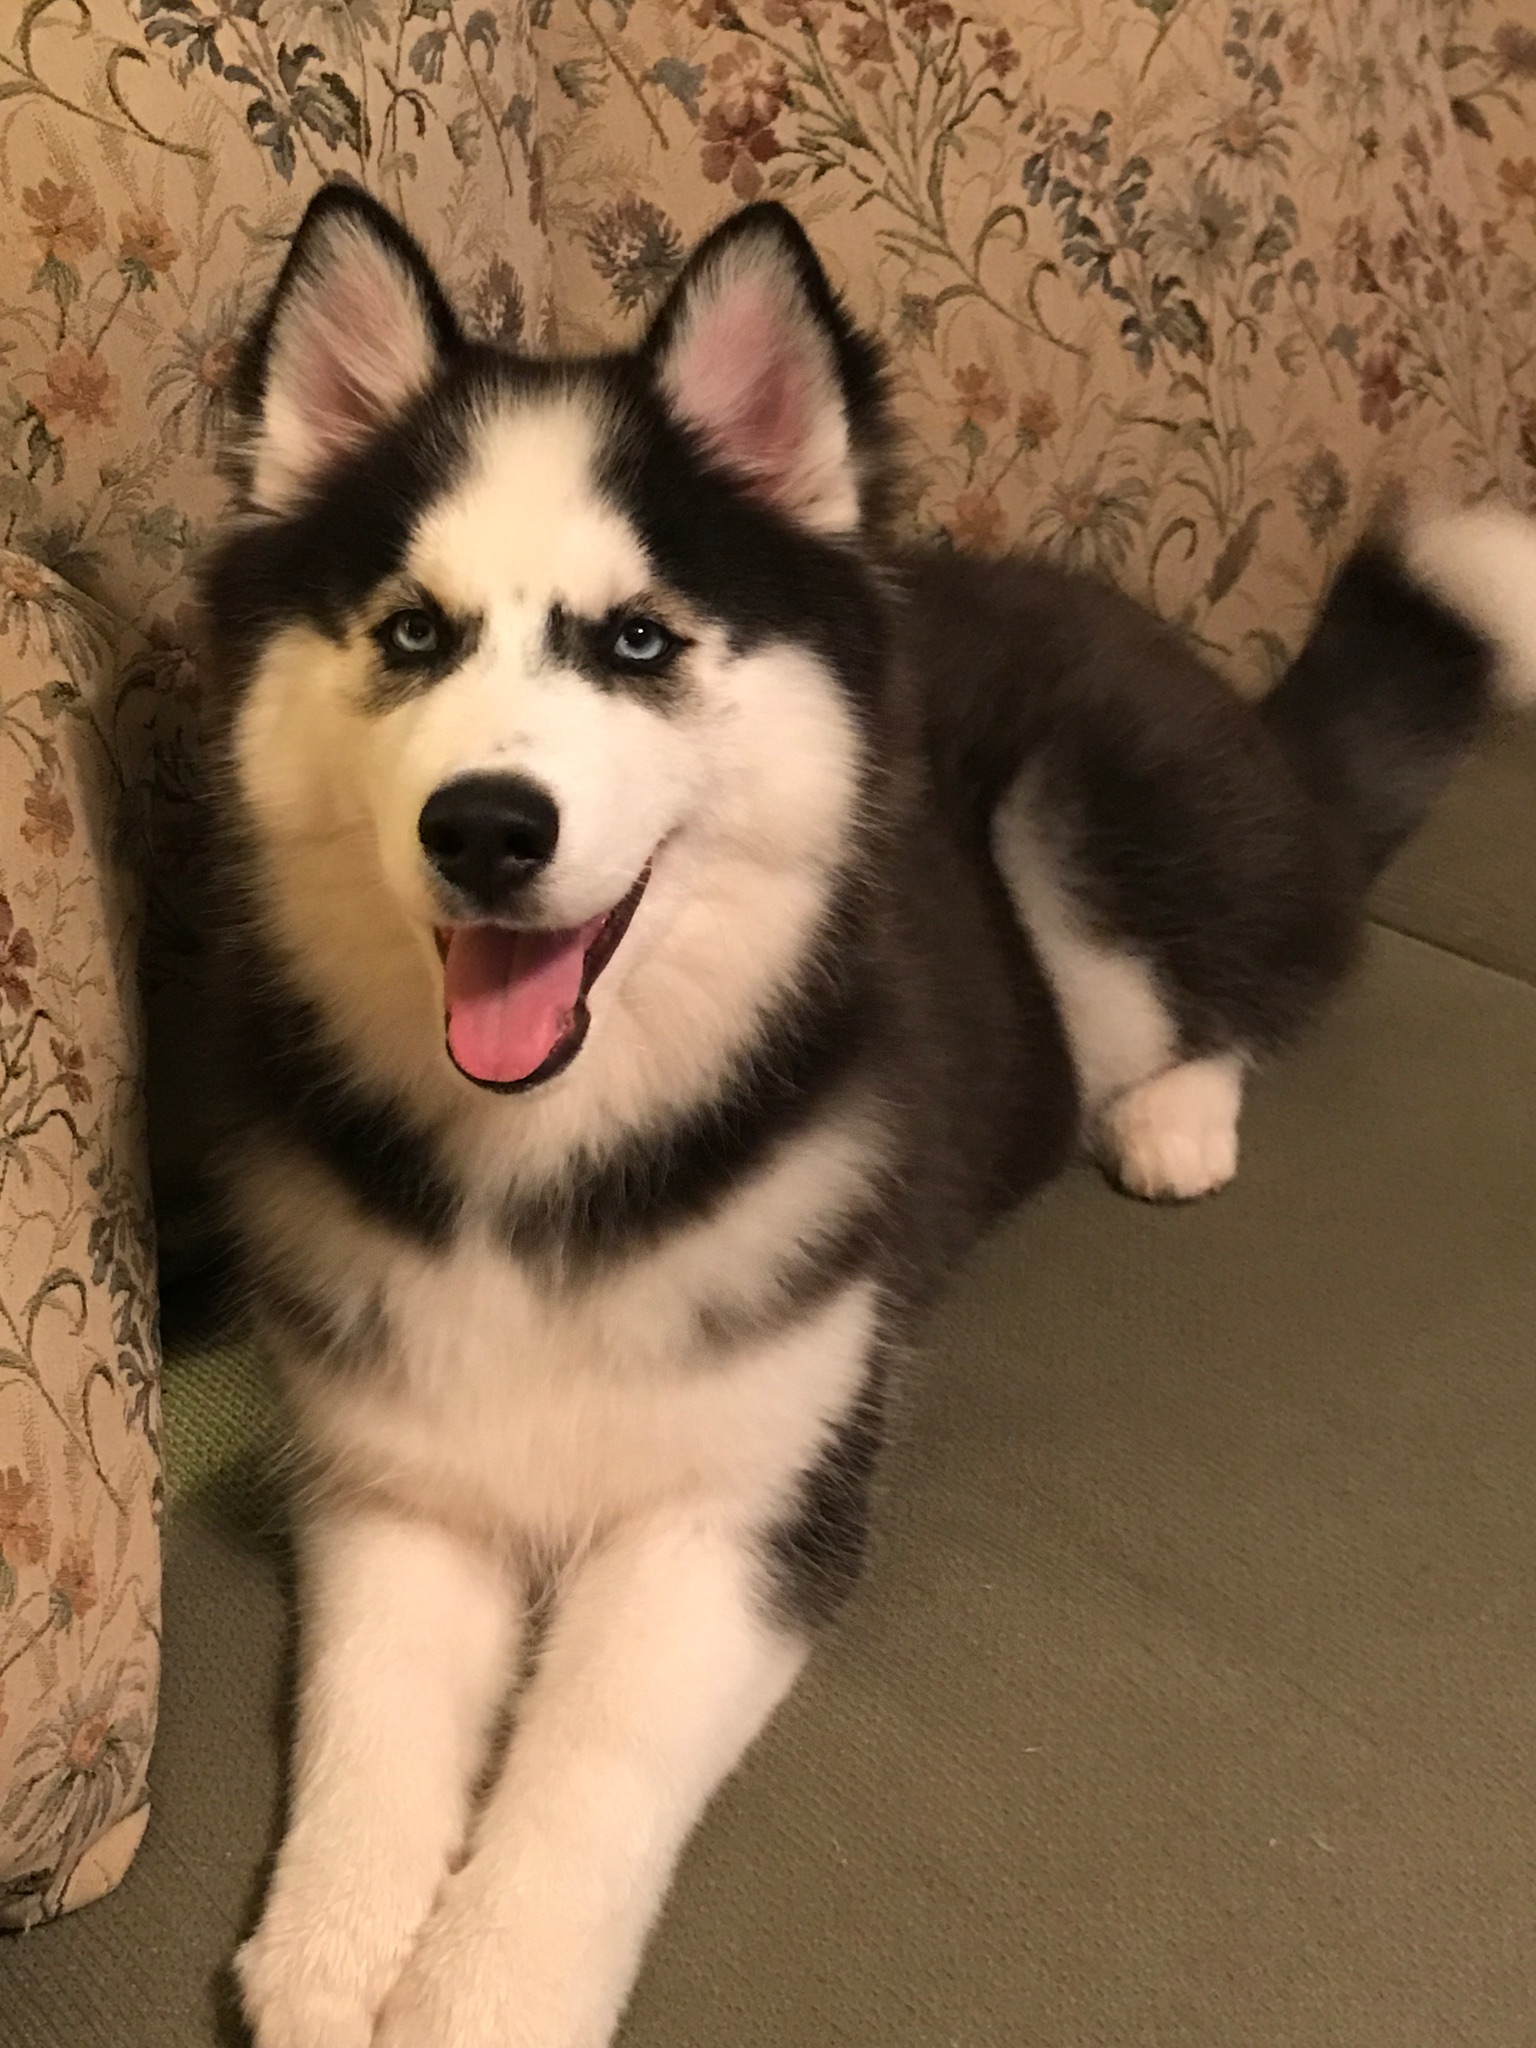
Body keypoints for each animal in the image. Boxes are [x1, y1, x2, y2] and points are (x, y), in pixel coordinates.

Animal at [205, 182, 1536, 2048]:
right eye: (412, 632)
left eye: (637, 638)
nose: (483, 827)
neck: (555, 1162)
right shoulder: (395, 1471)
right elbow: (369, 1714)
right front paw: (335, 1950)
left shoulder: (749, 1501)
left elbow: (583, 1770)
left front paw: (482, 1992)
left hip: (1086, 823)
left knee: (1253, 985)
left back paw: (1177, 1118)